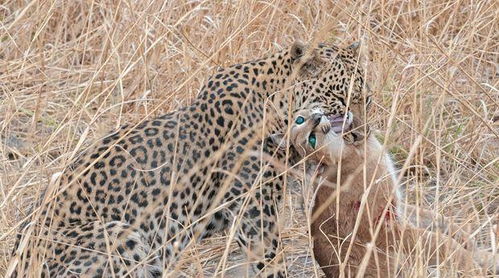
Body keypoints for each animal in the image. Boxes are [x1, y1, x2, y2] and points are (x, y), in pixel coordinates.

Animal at [8, 40, 372, 276]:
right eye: (340, 97)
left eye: (365, 97)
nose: (361, 132)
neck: (276, 107)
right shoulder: (256, 214)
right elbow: (271, 262)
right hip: (119, 233)